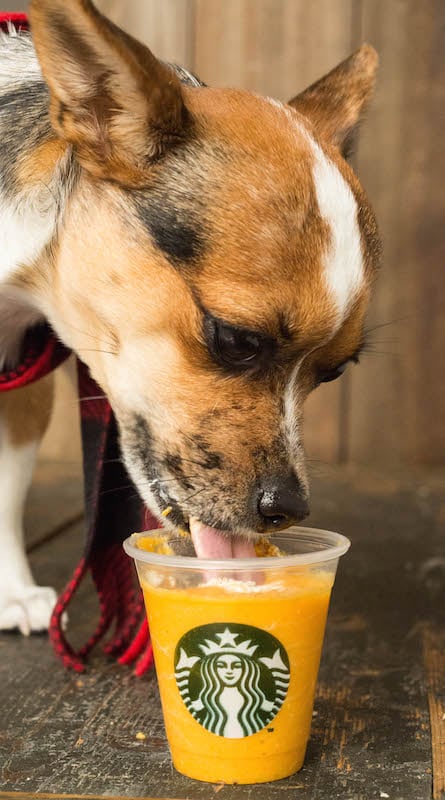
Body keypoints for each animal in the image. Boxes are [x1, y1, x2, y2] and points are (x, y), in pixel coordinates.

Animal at [0, 0, 378, 636]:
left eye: (334, 373)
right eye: (236, 339)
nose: (287, 509)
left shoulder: (20, 379)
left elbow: (5, 485)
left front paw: (11, 590)